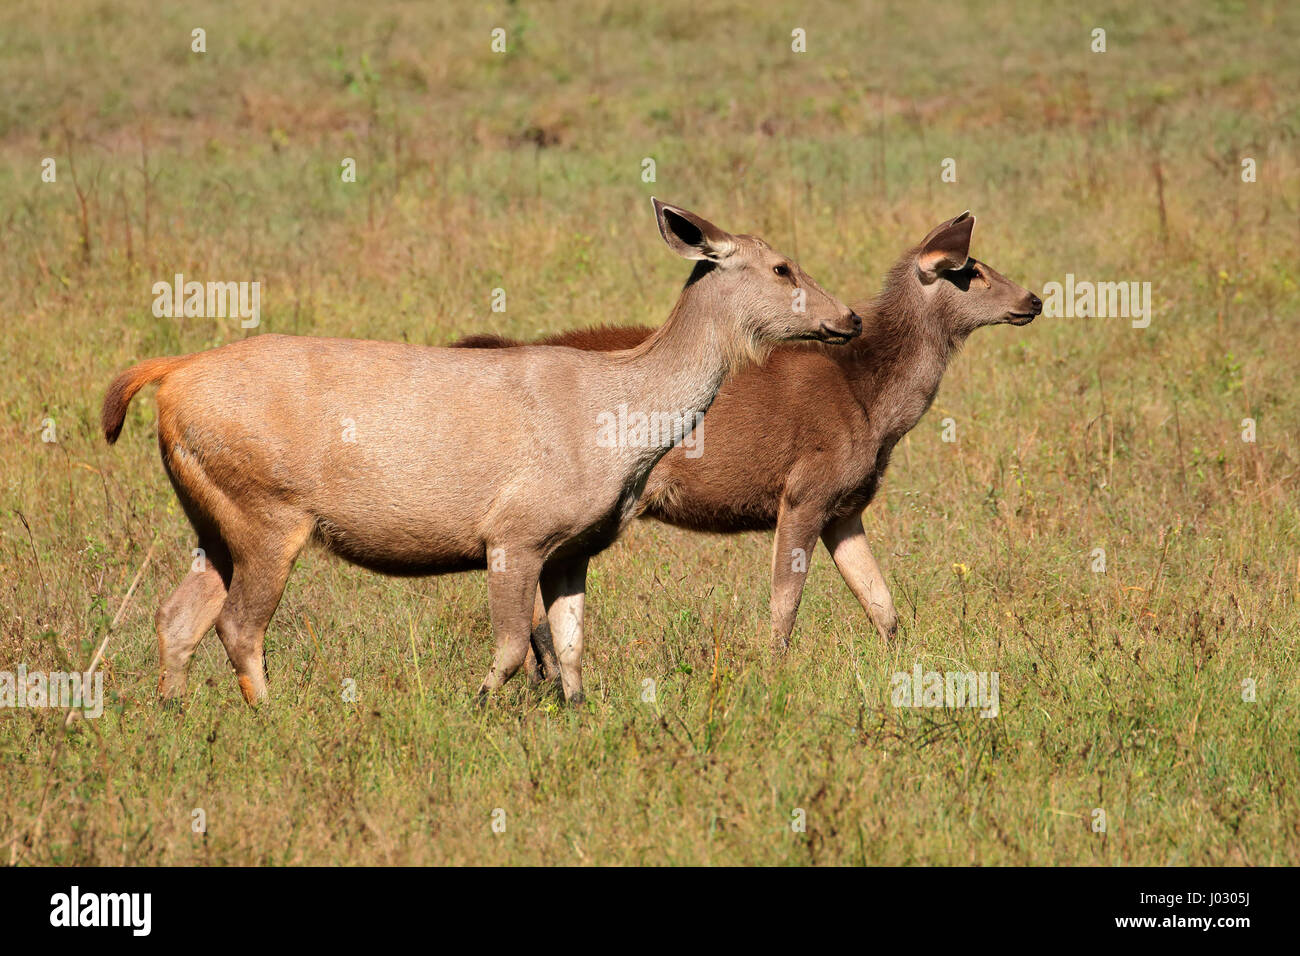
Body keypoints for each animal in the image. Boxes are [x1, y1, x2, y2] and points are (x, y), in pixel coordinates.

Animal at [104, 200, 863, 712]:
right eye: (782, 266)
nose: (850, 317)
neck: (622, 427)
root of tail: (169, 377)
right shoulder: (514, 531)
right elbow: (511, 647)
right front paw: (475, 707)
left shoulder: (574, 546)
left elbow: (573, 650)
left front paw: (577, 715)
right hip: (268, 509)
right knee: (238, 624)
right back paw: (273, 716)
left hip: (213, 517)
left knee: (177, 617)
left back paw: (175, 710)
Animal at [452, 213, 1040, 671]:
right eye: (972, 272)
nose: (1033, 299)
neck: (875, 406)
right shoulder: (806, 489)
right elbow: (785, 602)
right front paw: (774, 671)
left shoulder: (846, 507)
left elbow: (883, 605)